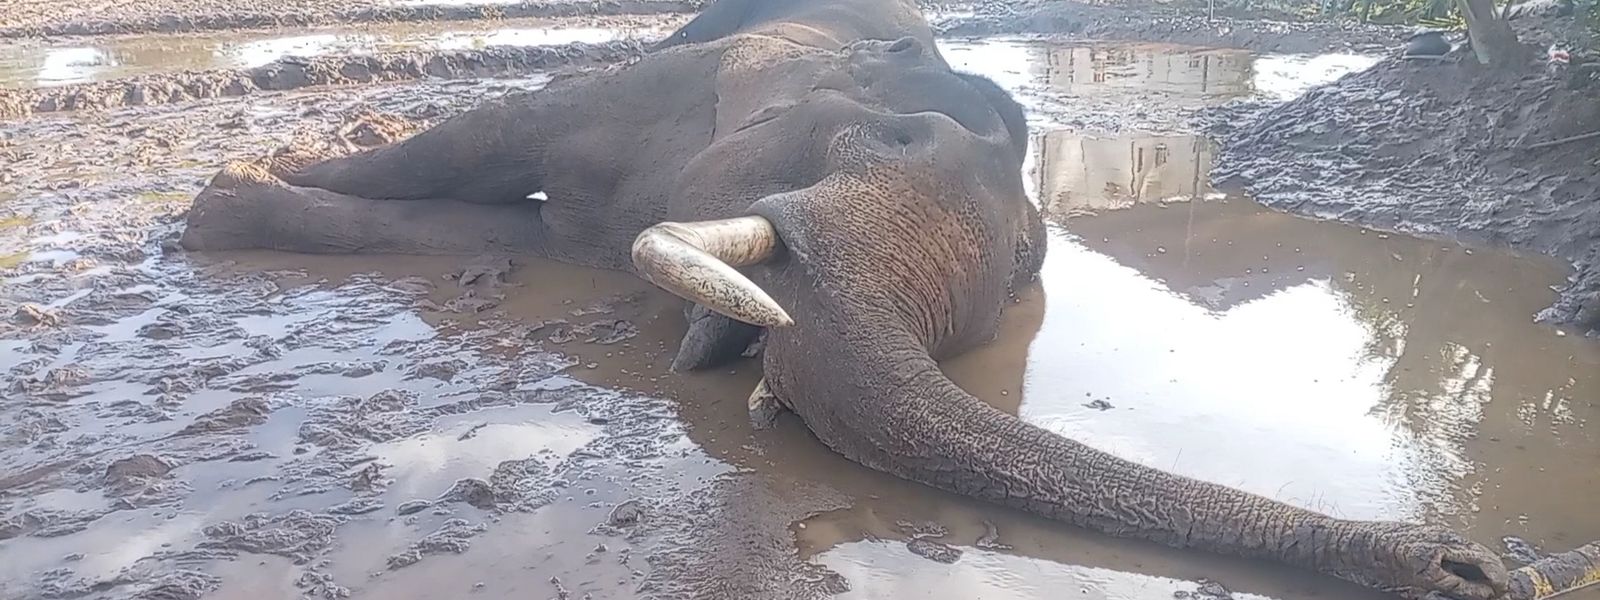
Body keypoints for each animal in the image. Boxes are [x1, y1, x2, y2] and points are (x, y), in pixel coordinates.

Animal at [178, 0, 1514, 598]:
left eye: (1019, 277)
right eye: (884, 139)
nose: (1481, 568)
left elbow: (507, 223)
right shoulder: (672, 98)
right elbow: (495, 143)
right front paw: (222, 204)